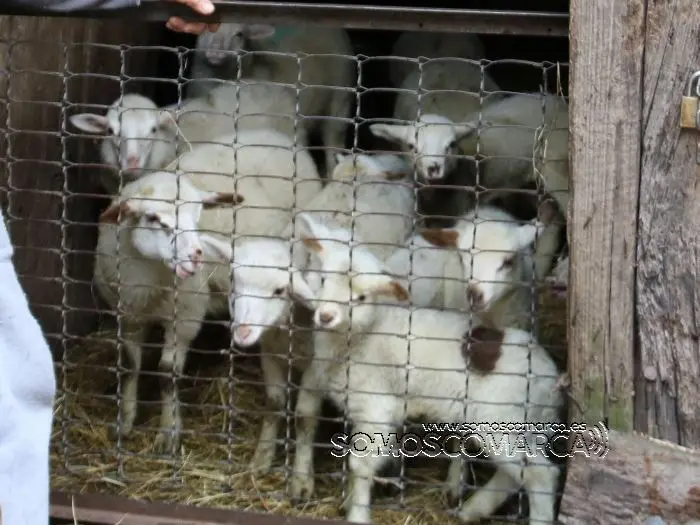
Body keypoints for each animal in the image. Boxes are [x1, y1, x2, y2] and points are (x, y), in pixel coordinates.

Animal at [91, 170, 243, 452]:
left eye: (198, 215)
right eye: (153, 218)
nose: (196, 255)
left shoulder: (184, 319)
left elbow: (166, 372)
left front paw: (169, 432)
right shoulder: (128, 316)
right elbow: (129, 365)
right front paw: (125, 420)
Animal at [288, 236, 568, 524]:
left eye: (361, 298)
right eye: (323, 280)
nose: (326, 316)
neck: (361, 336)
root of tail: (551, 379)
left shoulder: (376, 406)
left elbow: (360, 464)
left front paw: (357, 514)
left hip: (502, 419)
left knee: (541, 475)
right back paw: (472, 509)